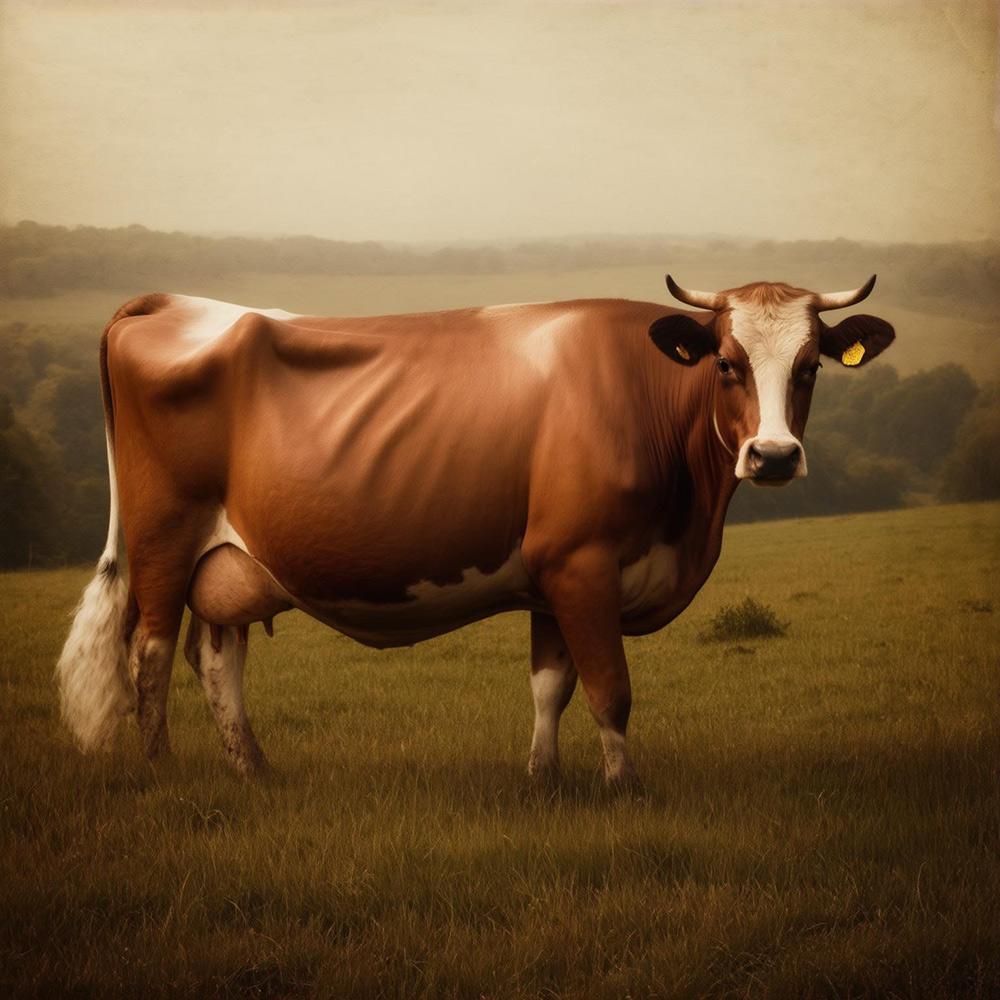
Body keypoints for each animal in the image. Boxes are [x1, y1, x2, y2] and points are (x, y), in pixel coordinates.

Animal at [56, 276, 894, 789]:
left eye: (811, 366)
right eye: (725, 362)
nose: (774, 456)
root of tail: (168, 301)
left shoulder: (553, 577)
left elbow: (551, 686)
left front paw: (543, 781)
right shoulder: (582, 564)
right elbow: (611, 689)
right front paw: (625, 788)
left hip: (227, 560)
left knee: (216, 658)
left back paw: (255, 773)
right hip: (164, 540)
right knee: (151, 654)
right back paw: (162, 770)